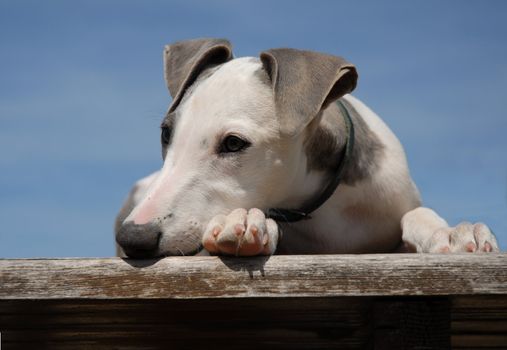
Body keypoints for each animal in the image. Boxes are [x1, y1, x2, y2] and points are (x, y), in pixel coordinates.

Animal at [114, 37, 500, 258]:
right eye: (166, 133)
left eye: (234, 143)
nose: (132, 238)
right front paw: (243, 222)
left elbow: (415, 214)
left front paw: (452, 232)